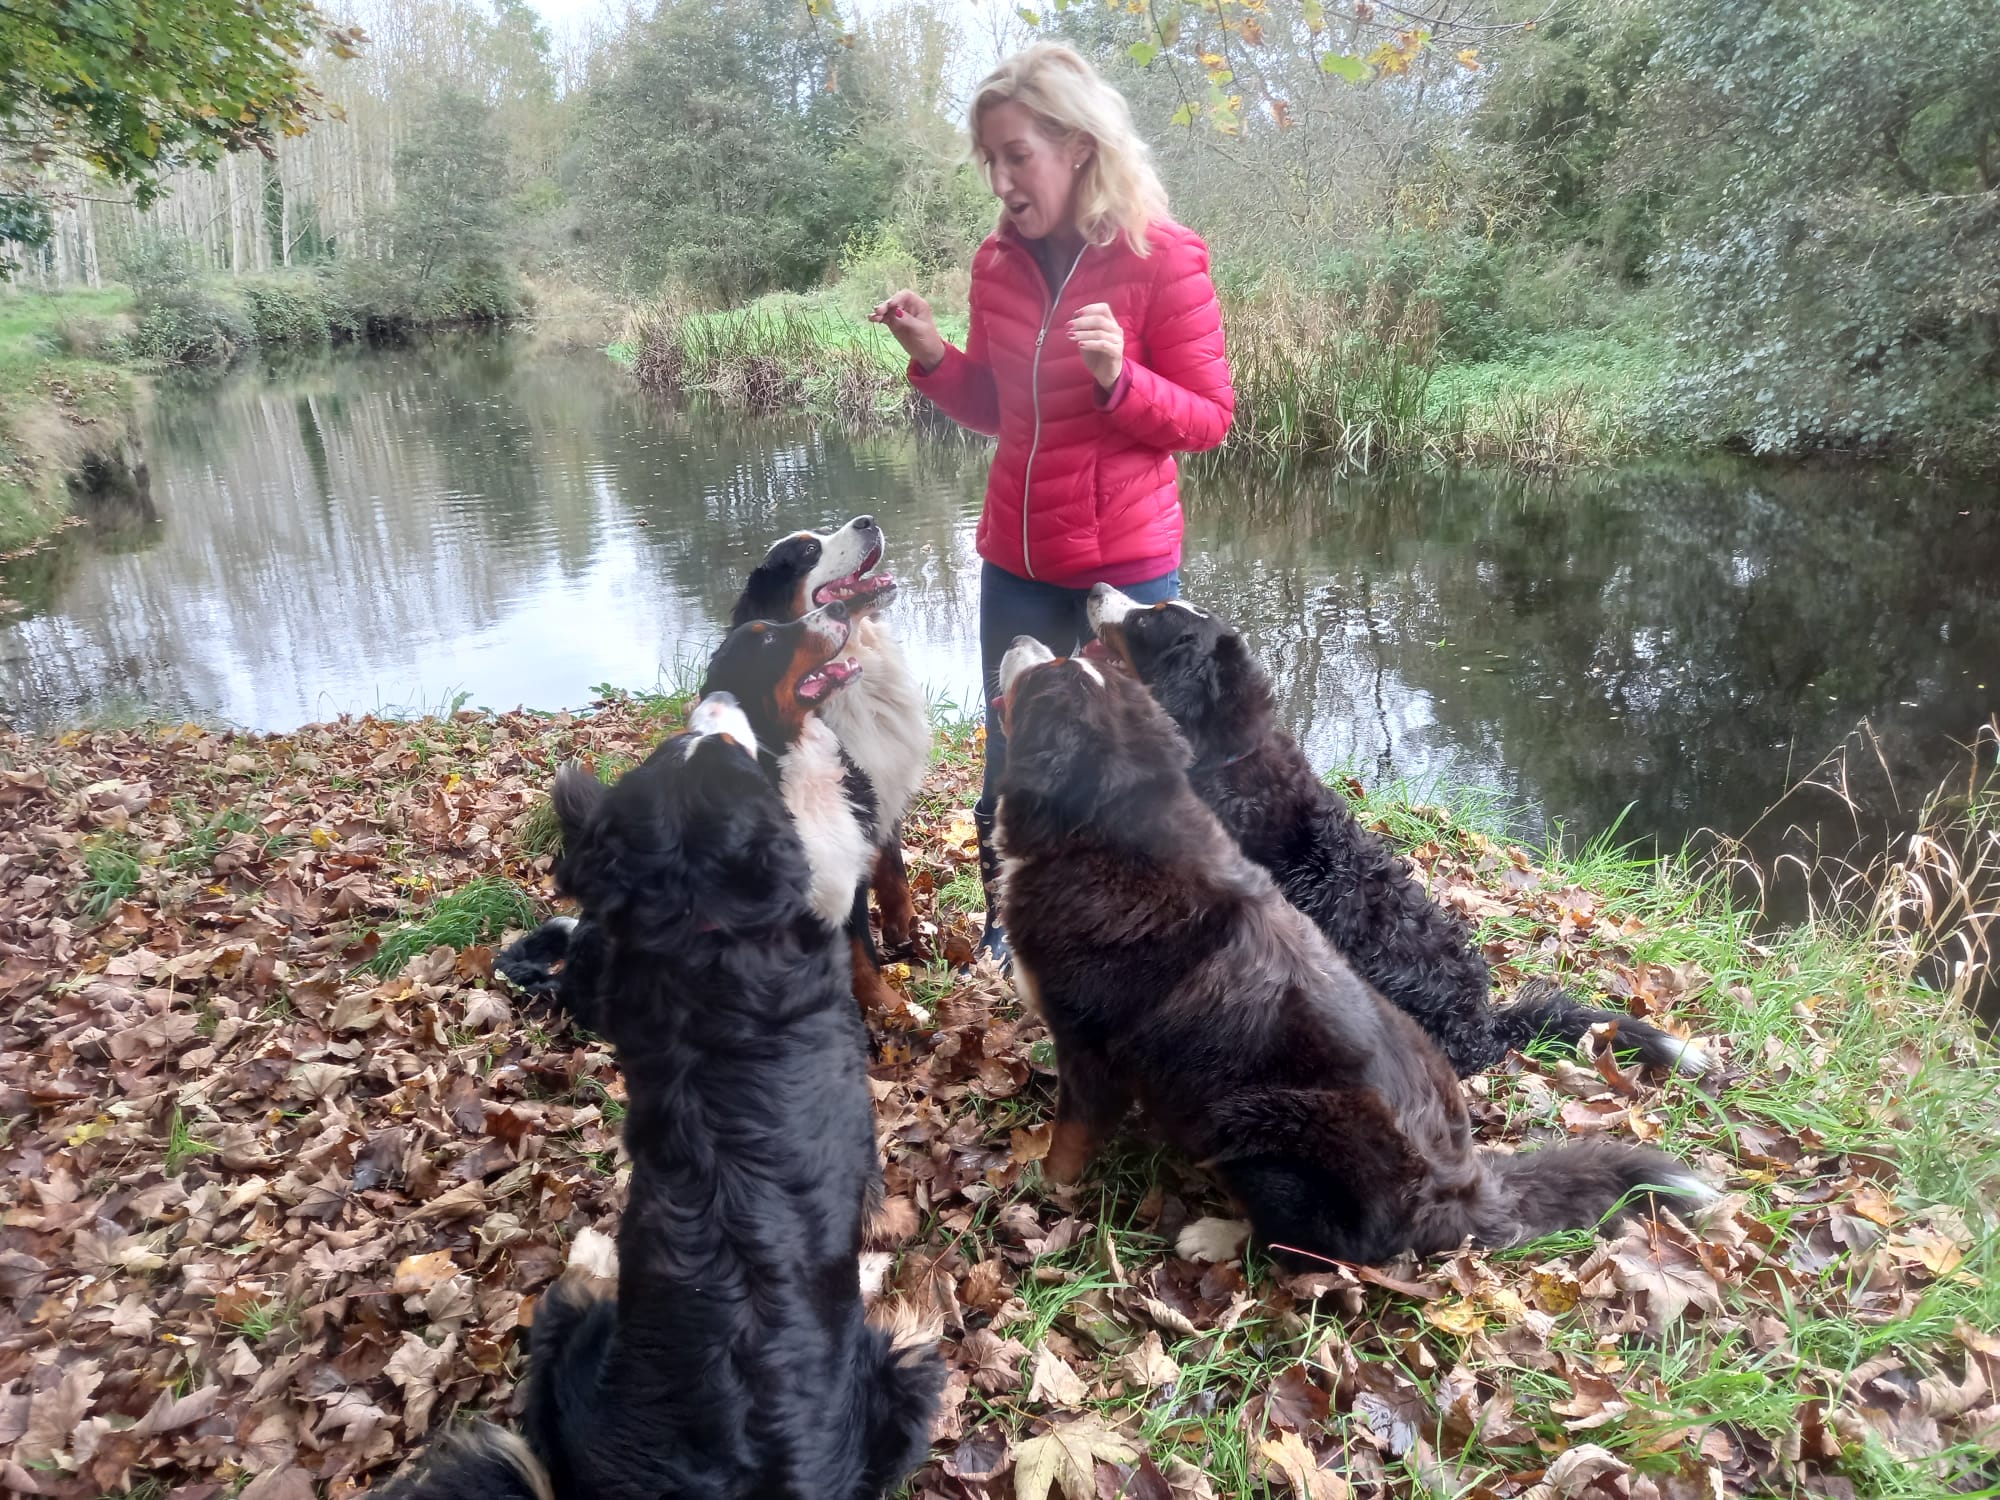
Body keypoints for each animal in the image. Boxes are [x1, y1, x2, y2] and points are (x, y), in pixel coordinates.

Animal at [992, 636, 1712, 1272]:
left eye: (1046, 674)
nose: (1022, 635)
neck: (1109, 835)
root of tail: (1465, 1193)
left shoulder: (1092, 1053)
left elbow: (1068, 1142)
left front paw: (1037, 1188)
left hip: (1259, 1120)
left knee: (1315, 1249)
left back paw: (1214, 1235)